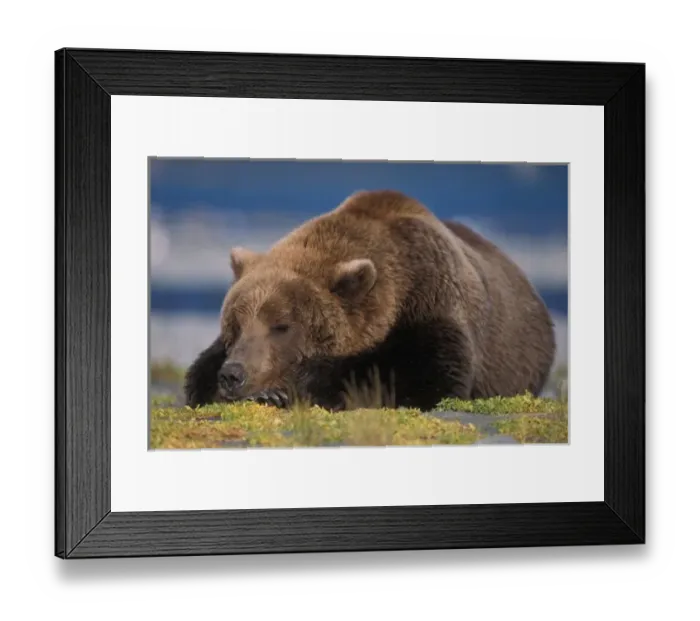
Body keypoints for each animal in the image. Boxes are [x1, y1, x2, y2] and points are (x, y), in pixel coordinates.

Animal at [184, 189, 556, 411]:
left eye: (282, 325)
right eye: (234, 325)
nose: (234, 374)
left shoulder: (431, 305)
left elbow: (421, 380)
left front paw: (287, 390)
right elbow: (199, 375)